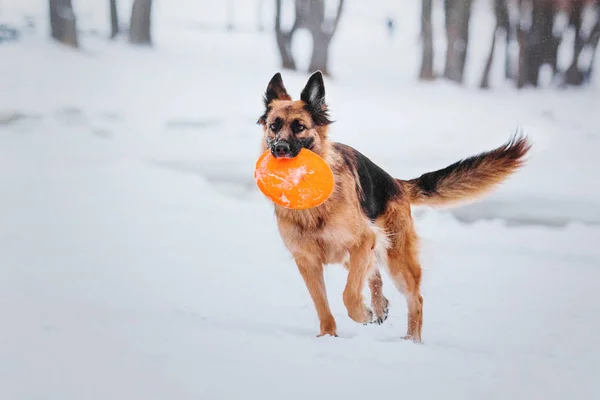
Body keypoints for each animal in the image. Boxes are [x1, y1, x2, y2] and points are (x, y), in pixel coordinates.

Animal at [255, 70, 532, 342]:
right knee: (375, 275)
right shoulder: (308, 261)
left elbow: (349, 294)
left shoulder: (362, 241)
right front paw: (328, 336)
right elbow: (322, 304)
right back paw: (381, 307)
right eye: (274, 126)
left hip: (395, 259)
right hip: (361, 253)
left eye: (299, 127)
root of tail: (396, 183)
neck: (313, 206)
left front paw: (361, 314)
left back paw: (411, 340)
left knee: (415, 298)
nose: (279, 148)